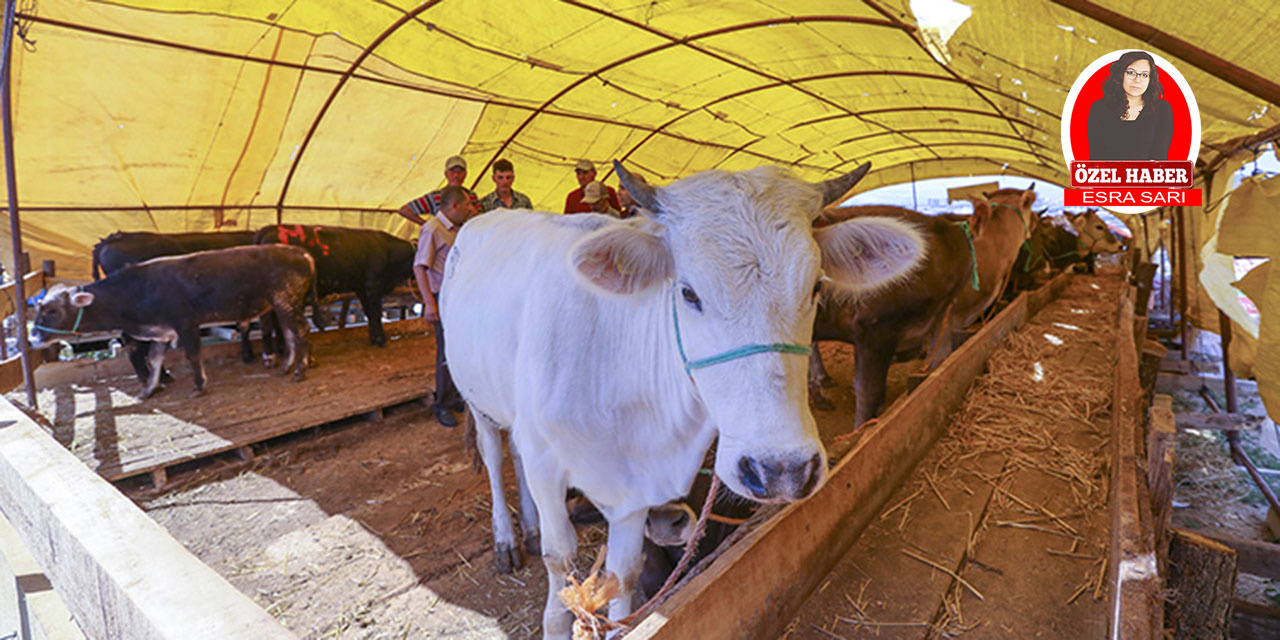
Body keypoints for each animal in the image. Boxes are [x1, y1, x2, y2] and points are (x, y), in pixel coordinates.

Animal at [440, 161, 921, 640]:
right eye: (688, 293)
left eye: (817, 288)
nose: (780, 470)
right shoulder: (547, 460)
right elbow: (561, 568)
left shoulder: (635, 491)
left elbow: (623, 575)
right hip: (475, 397)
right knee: (494, 454)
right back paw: (507, 537)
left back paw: (530, 525)